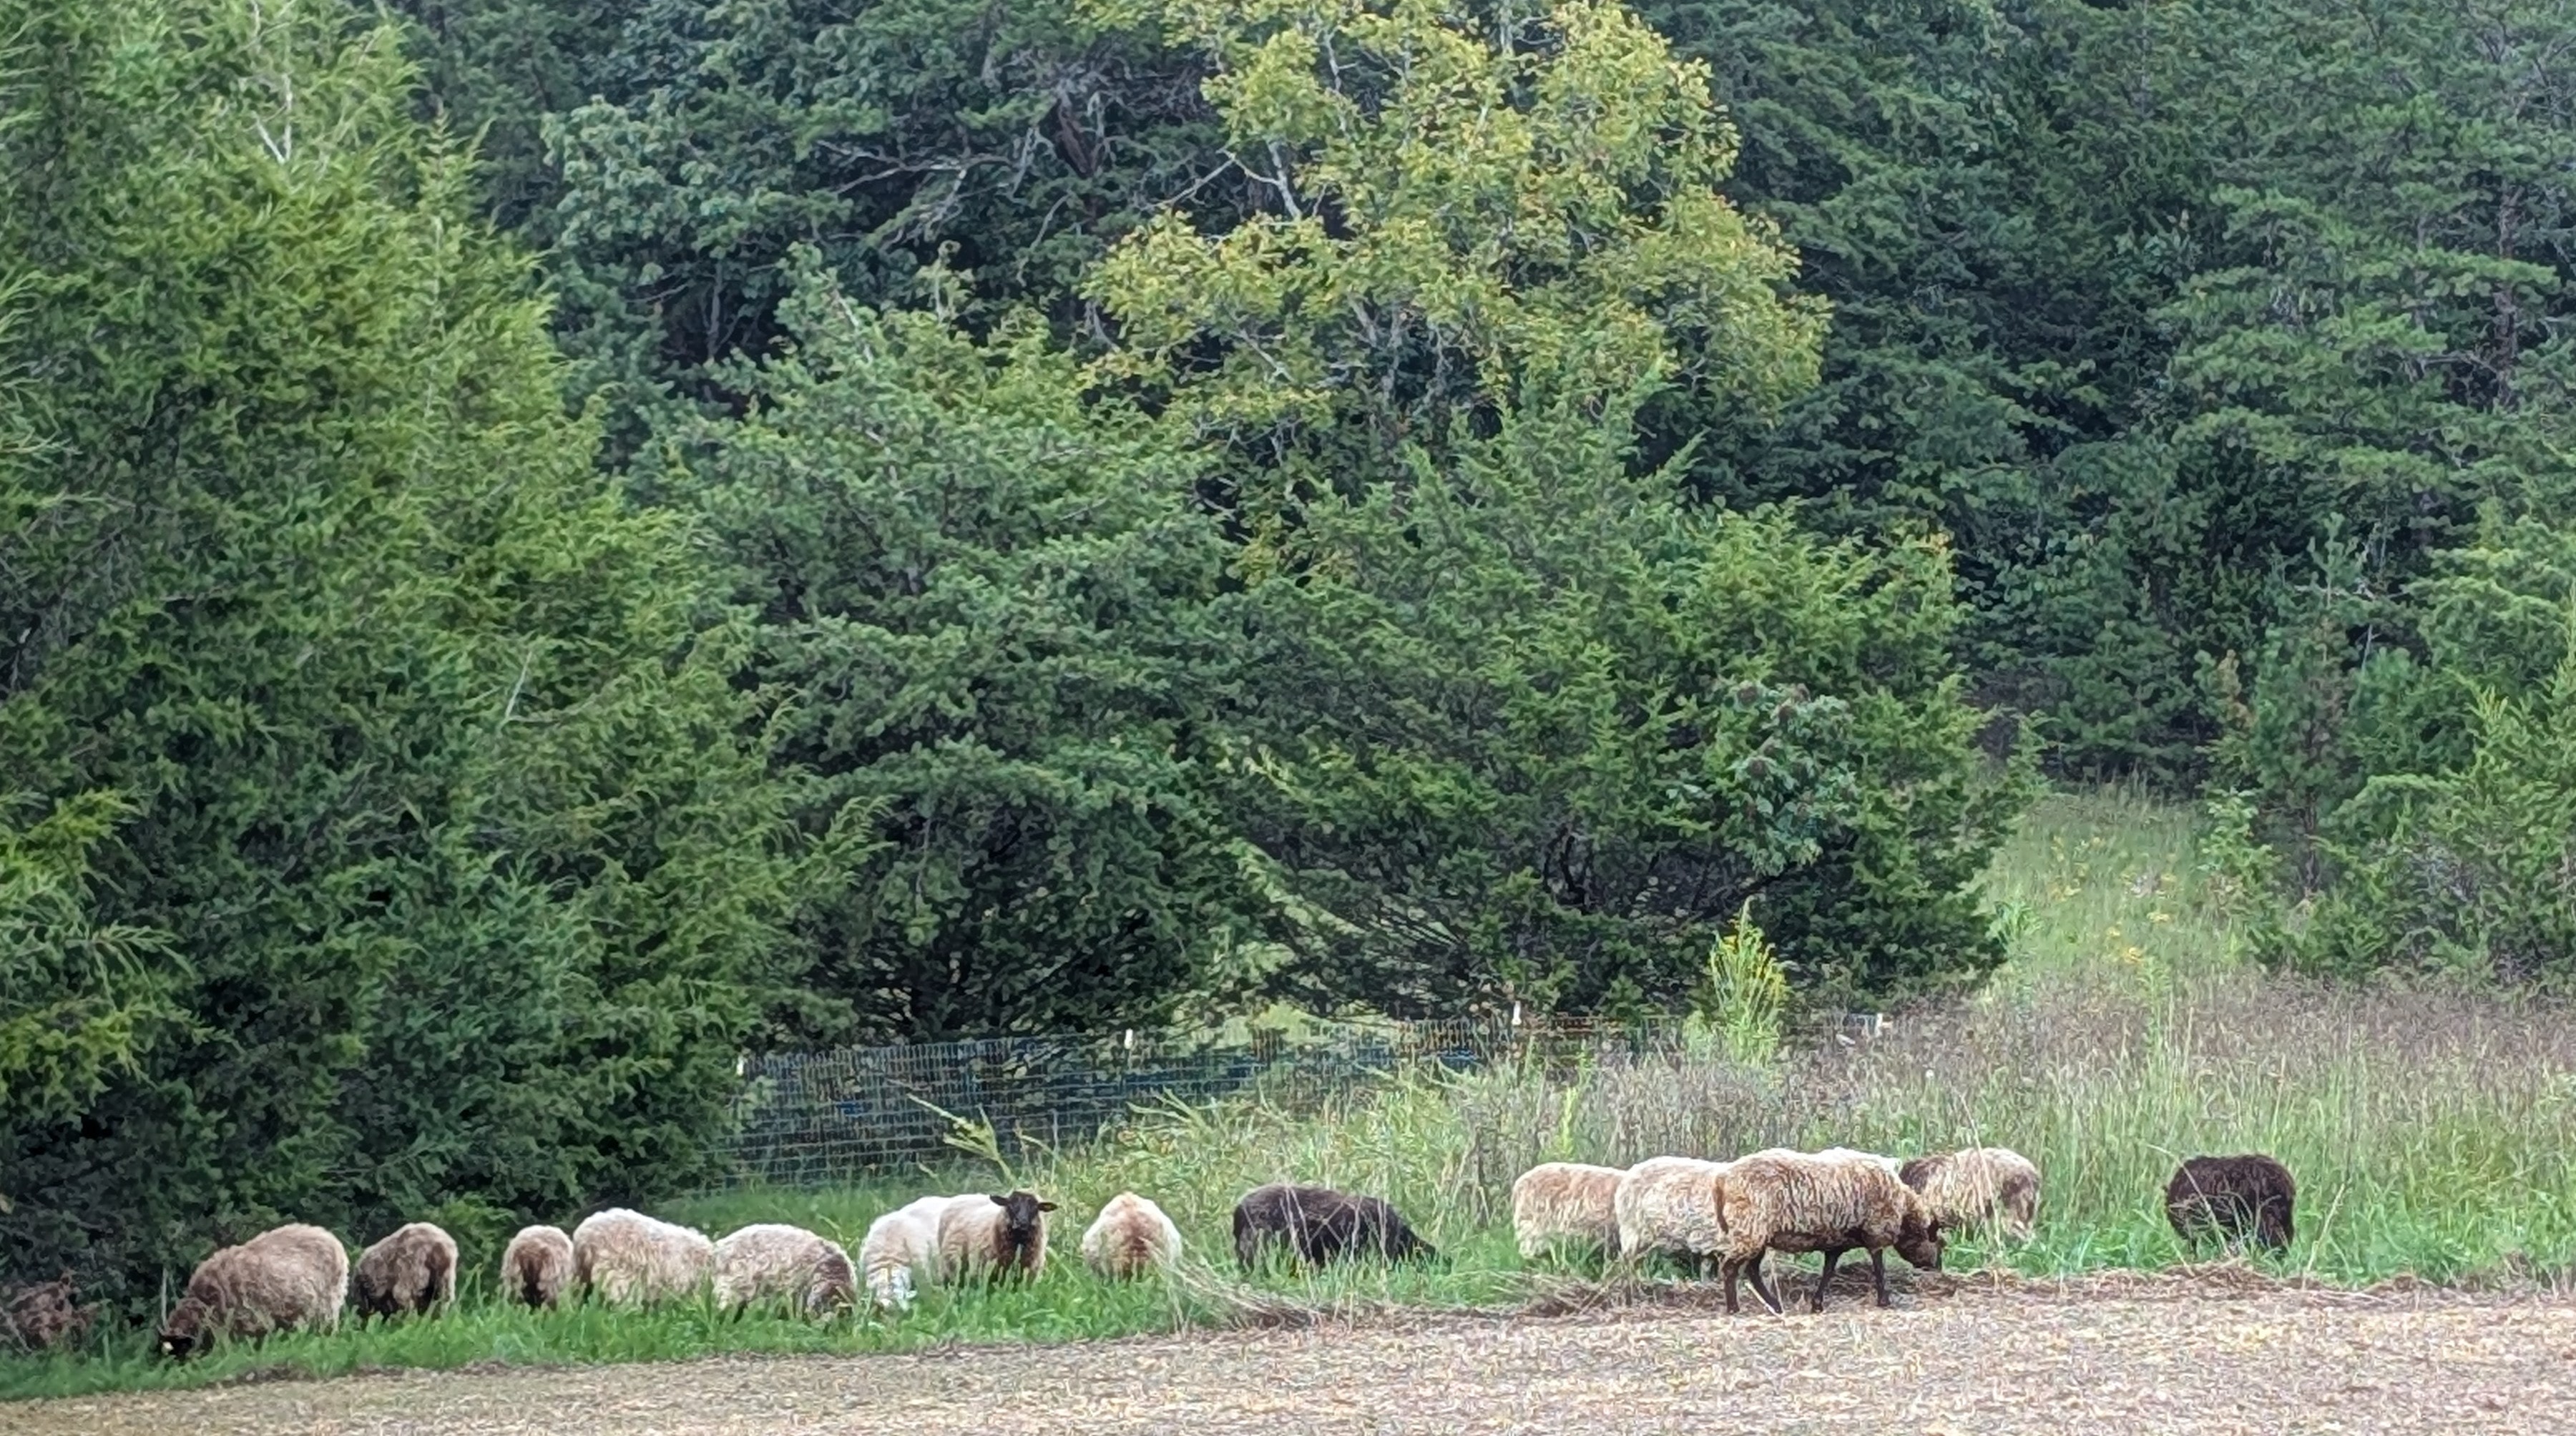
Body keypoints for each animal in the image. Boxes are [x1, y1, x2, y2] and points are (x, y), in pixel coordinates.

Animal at [1716, 1149, 1945, 1314]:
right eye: (1940, 1244)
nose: (1938, 1270)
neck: (1904, 1208)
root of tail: (1724, 1179)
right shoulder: (1876, 1231)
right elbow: (1879, 1269)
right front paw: (1884, 1301)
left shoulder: (1837, 1242)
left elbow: (1828, 1271)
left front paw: (1817, 1304)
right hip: (1751, 1228)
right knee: (1729, 1268)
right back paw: (1734, 1308)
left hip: (1758, 1235)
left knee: (1752, 1271)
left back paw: (1775, 1306)